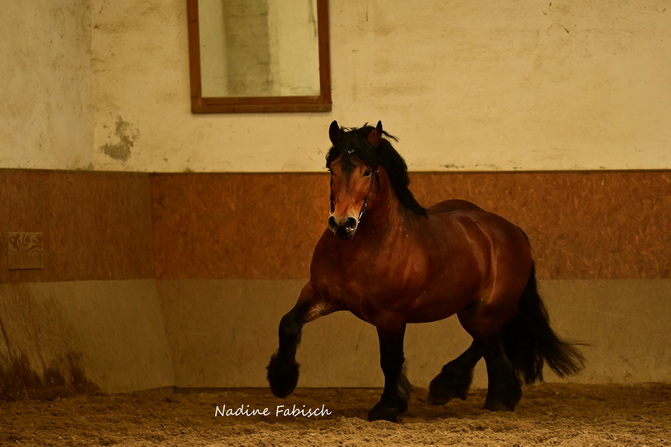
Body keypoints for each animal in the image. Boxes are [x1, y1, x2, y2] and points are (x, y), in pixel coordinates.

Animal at [267, 120, 585, 423]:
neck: (361, 247)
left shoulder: (391, 316)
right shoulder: (319, 294)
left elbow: (391, 360)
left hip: (484, 309)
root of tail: (510, 229)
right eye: (331, 170)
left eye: (367, 171)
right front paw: (281, 379)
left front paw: (387, 408)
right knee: (490, 343)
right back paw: (486, 396)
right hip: (470, 309)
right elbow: (288, 324)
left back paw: (464, 389)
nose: (342, 224)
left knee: (488, 341)